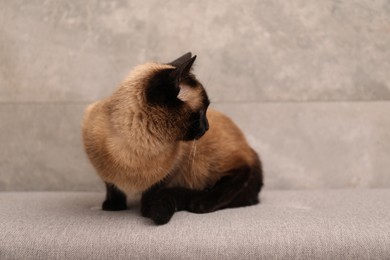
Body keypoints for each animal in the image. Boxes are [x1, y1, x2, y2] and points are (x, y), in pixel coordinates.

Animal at [83, 52, 264, 223]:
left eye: (206, 110)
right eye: (201, 112)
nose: (207, 127)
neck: (137, 146)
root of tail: (248, 146)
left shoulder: (169, 172)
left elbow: (152, 191)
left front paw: (147, 210)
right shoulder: (103, 171)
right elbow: (112, 186)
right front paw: (114, 206)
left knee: (240, 175)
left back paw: (201, 203)